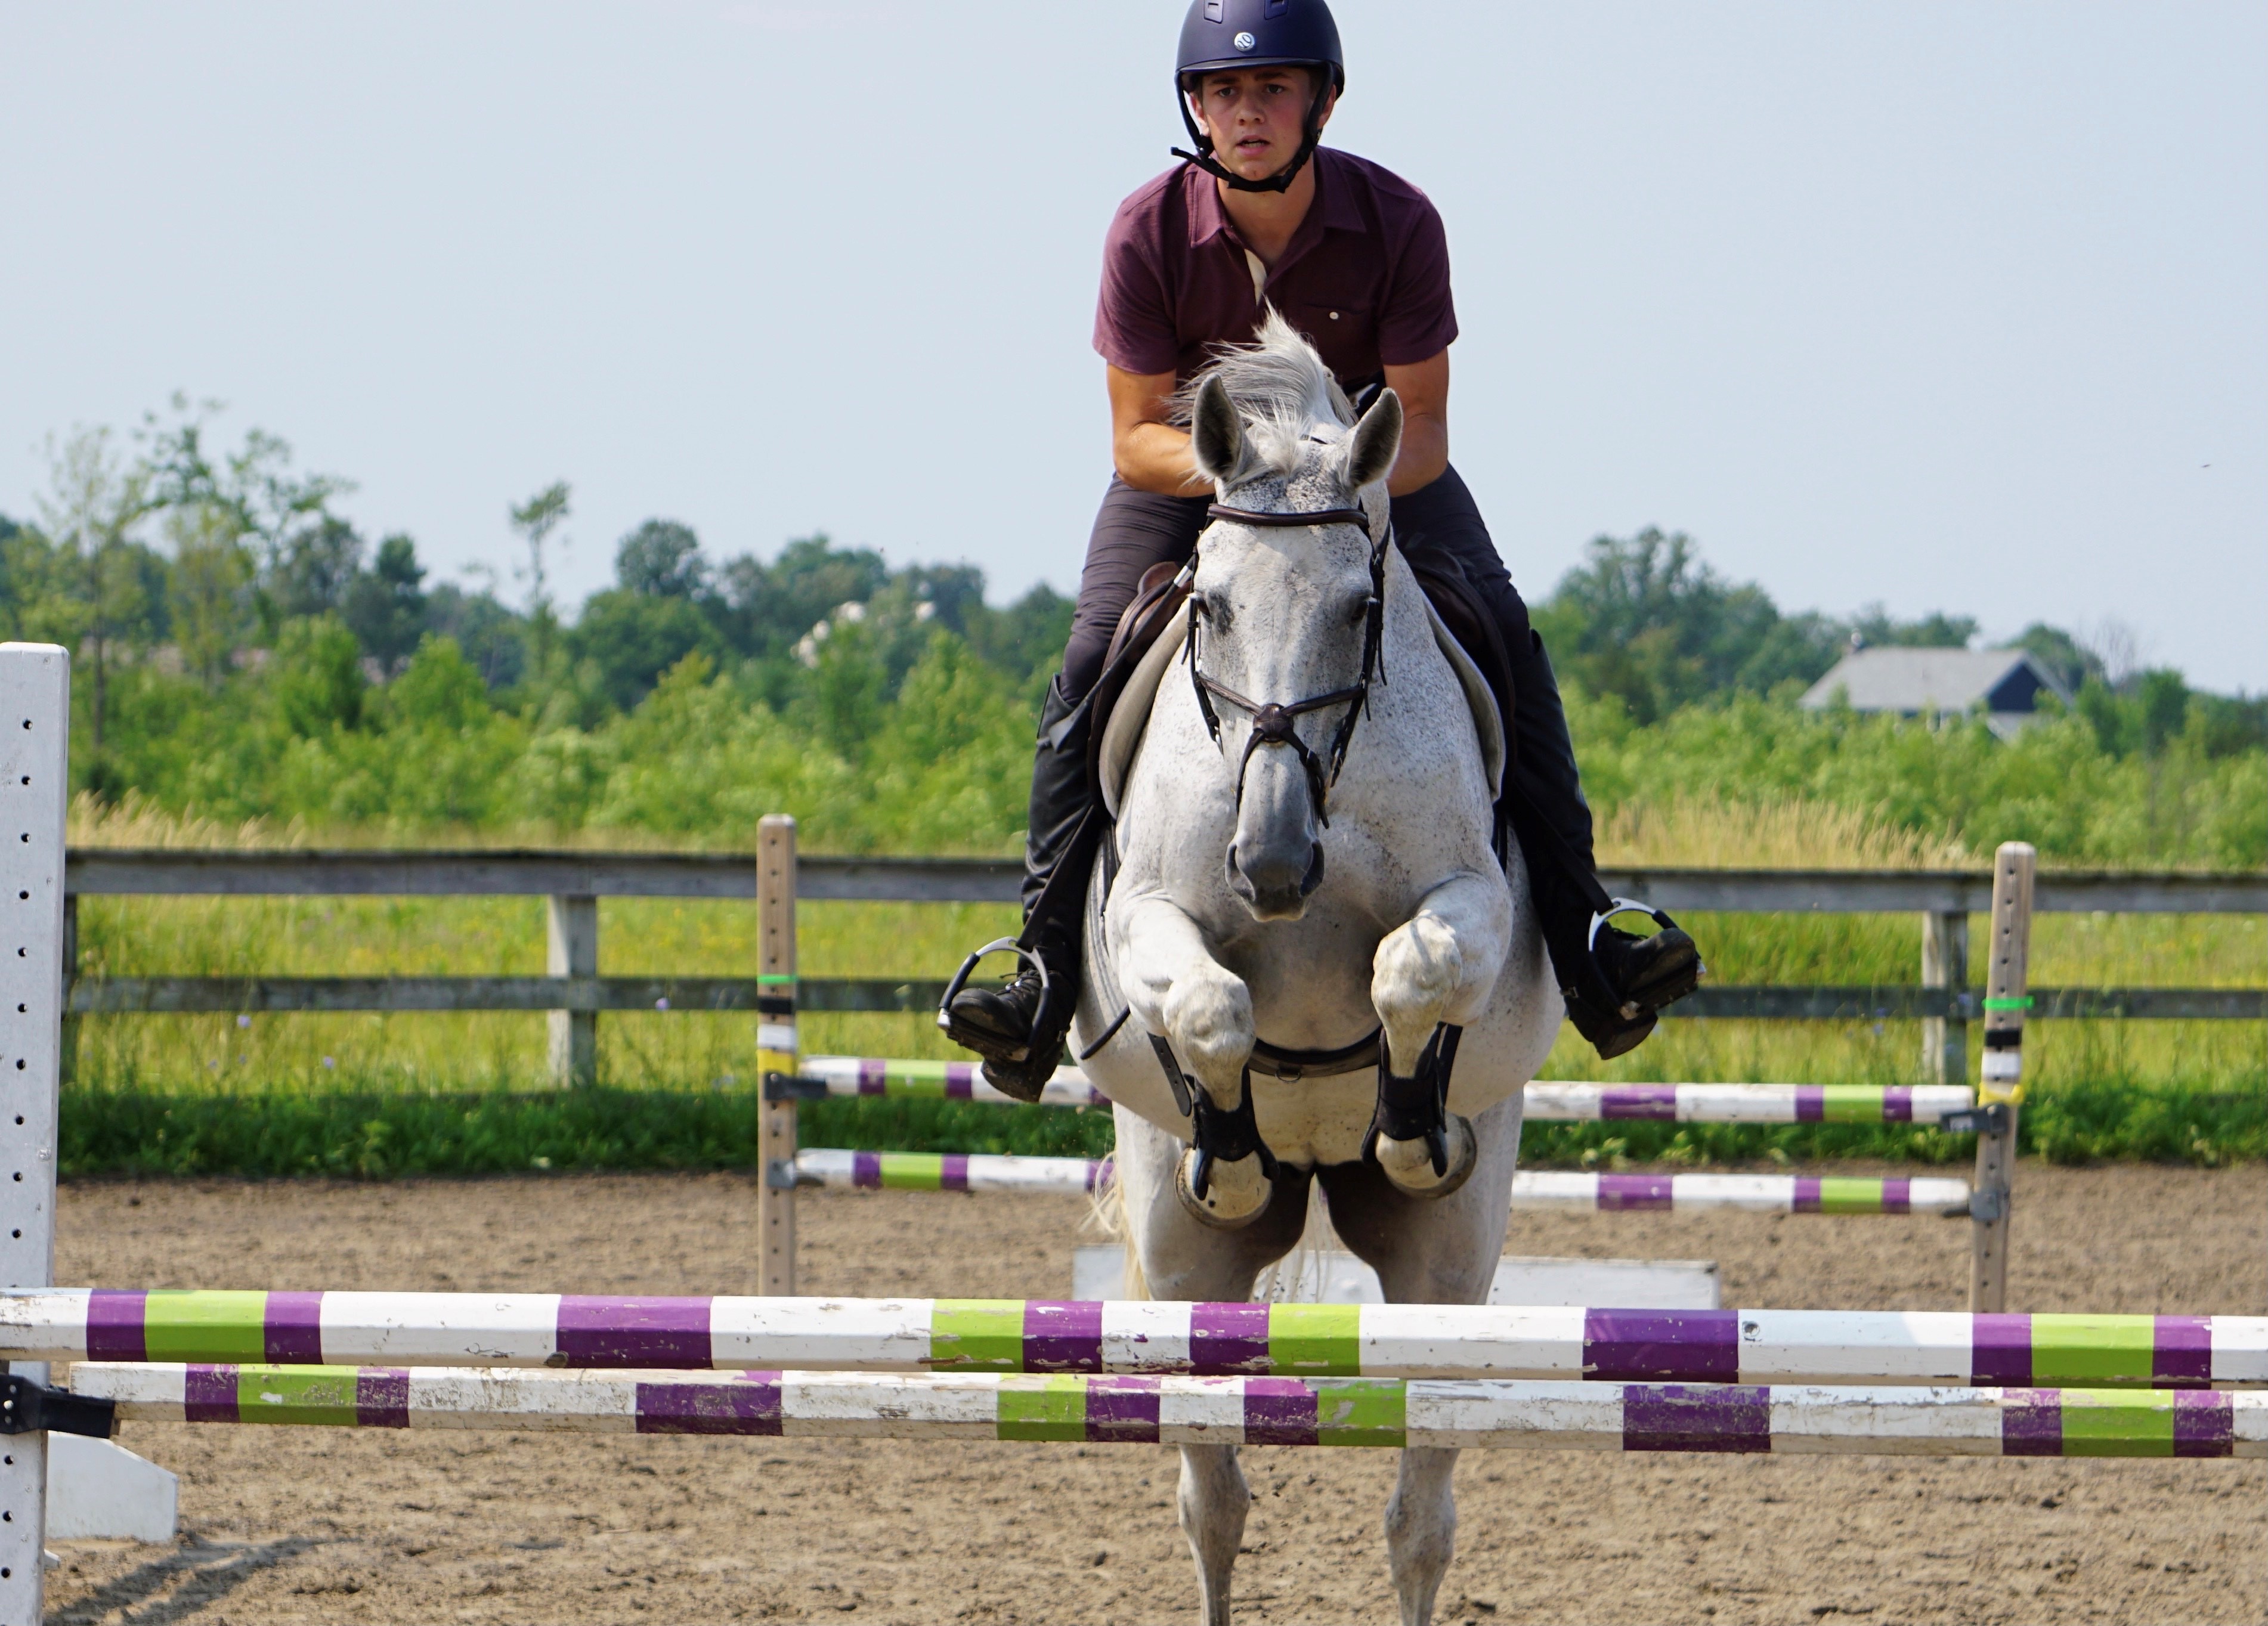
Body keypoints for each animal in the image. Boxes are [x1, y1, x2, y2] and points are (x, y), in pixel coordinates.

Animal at [1070, 311, 1569, 1614]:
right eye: (1208, 605)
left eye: (1357, 606)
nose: (1273, 860)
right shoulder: (1145, 921)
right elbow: (1213, 1007)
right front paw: (1237, 1152)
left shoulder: (1475, 903)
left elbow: (1409, 972)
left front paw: (1404, 1123)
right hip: (1183, 1262)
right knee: (1212, 1502)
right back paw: (1242, 1165)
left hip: (1446, 1269)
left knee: (1418, 1518)